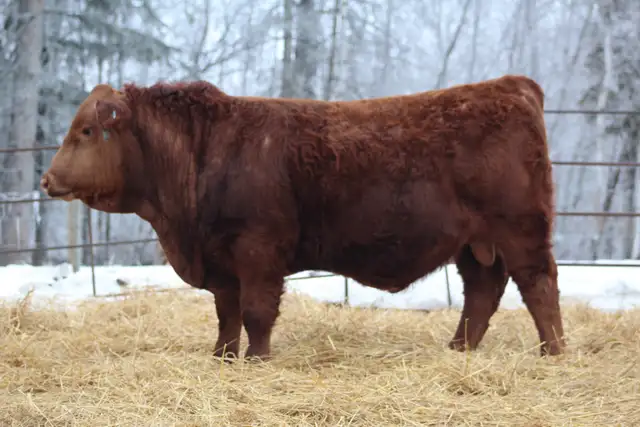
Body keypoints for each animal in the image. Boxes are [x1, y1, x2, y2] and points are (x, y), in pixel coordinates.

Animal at [40, 75, 566, 360]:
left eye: (85, 131)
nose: (47, 179)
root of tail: (511, 86)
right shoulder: (222, 261)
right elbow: (227, 314)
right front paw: (222, 358)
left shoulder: (258, 251)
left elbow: (256, 312)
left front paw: (256, 361)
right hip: (475, 243)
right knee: (482, 292)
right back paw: (459, 350)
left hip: (521, 229)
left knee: (539, 286)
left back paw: (553, 353)